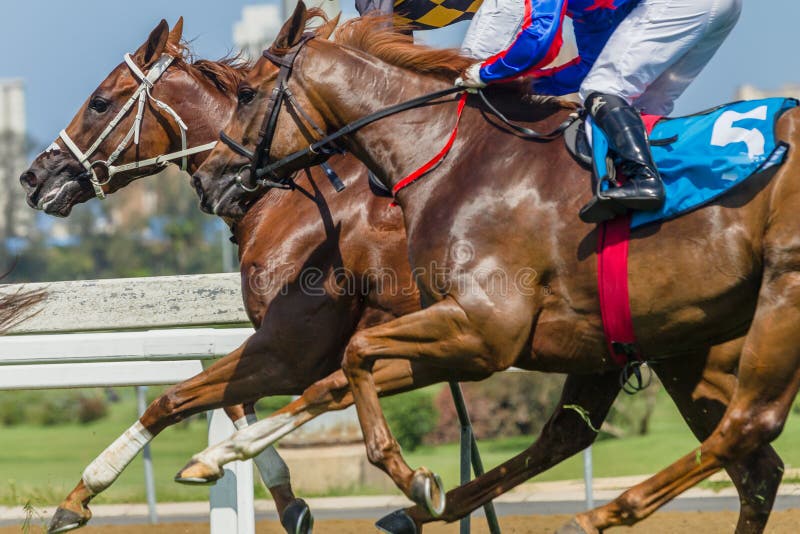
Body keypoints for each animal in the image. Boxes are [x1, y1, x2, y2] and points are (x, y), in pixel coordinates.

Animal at [186, 6, 792, 532]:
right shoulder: (471, 336)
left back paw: (590, 516)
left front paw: (414, 479)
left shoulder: (485, 327)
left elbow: (352, 358)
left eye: (247, 93)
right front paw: (222, 452)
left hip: (776, 298)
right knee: (748, 466)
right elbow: (336, 377)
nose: (209, 179)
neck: (449, 154)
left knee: (748, 428)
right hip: (676, 346)